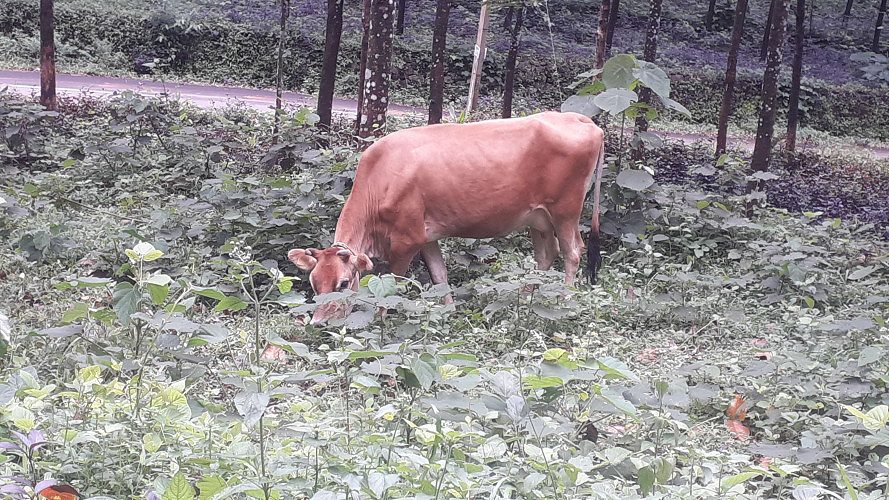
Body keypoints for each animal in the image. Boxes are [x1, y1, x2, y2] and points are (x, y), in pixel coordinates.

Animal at [288, 111, 606, 324]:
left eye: (343, 284)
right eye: (314, 283)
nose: (319, 322)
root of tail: (580, 119)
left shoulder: (406, 240)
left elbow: (392, 282)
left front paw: (380, 318)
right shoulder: (426, 236)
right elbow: (440, 276)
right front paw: (448, 314)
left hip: (565, 210)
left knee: (572, 252)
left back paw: (563, 301)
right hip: (537, 217)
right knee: (546, 253)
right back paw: (526, 301)